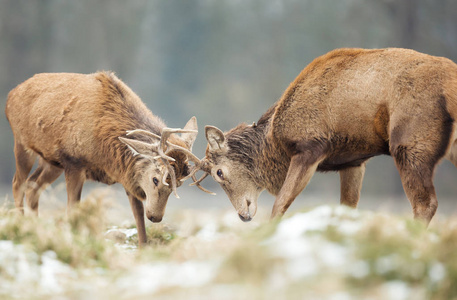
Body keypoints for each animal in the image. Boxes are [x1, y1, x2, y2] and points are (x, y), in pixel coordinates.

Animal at [4, 71, 201, 245]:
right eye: (155, 179)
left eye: (178, 184)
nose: (156, 216)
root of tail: (10, 96)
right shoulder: (73, 162)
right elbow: (73, 208)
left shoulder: (126, 172)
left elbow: (137, 215)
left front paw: (143, 245)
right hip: (22, 143)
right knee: (18, 183)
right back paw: (20, 223)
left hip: (51, 162)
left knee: (32, 185)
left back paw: (33, 226)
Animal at [191, 47, 456, 225]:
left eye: (219, 172)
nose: (242, 216)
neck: (274, 145)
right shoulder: (353, 161)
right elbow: (347, 207)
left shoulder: (310, 146)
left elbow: (279, 205)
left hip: (410, 142)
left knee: (425, 203)